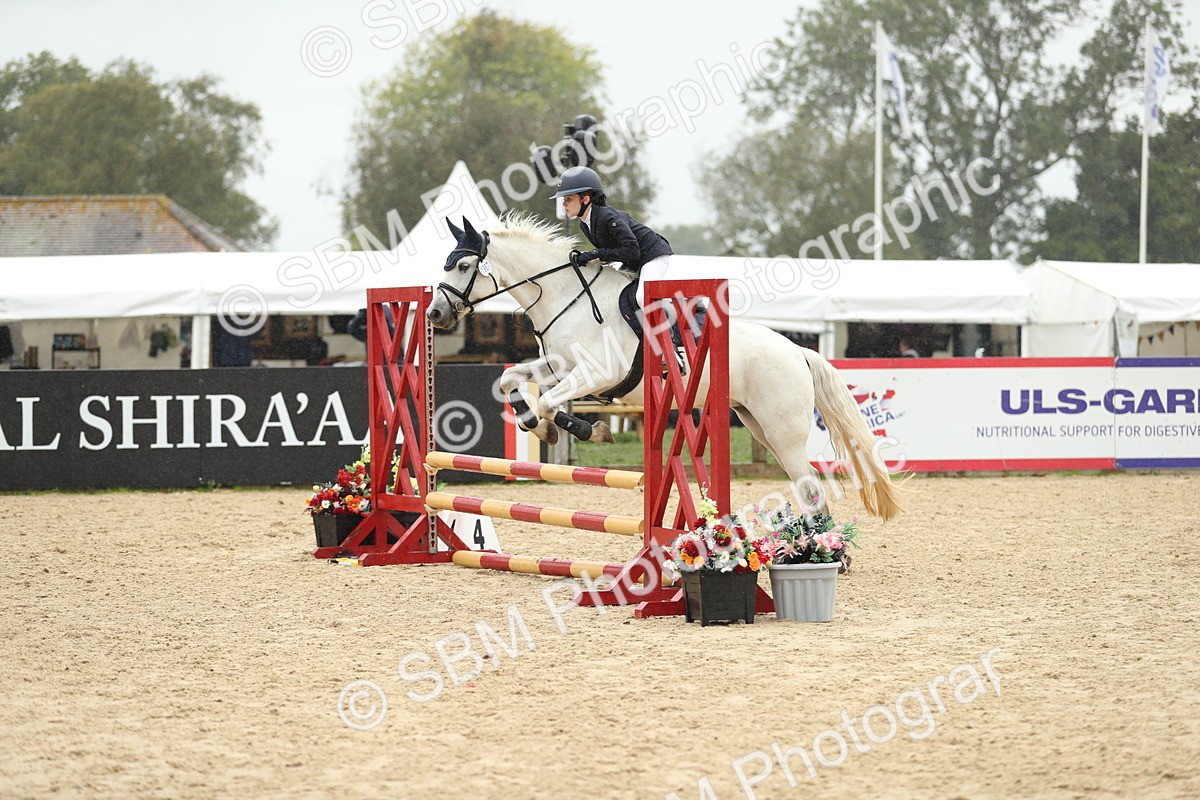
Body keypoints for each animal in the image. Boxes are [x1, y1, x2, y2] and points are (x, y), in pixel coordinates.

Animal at [427, 214, 902, 521]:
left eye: (464, 265)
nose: (434, 314)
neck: (564, 296)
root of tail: (796, 350)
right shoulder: (559, 366)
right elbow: (513, 380)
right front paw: (541, 428)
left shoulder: (597, 374)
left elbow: (550, 404)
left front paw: (584, 430)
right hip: (758, 424)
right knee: (804, 483)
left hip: (781, 428)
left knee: (808, 483)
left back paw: (825, 551)